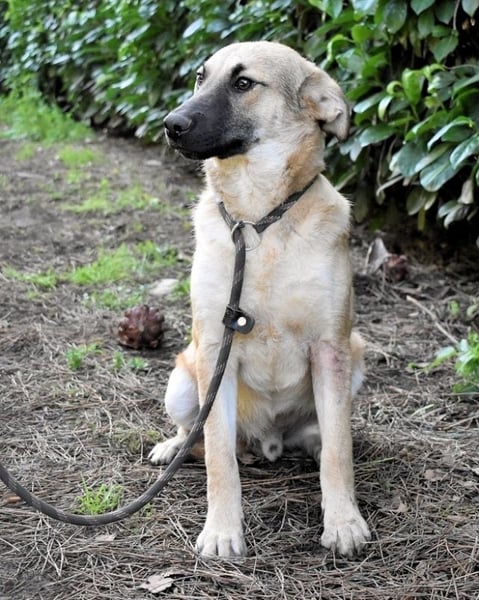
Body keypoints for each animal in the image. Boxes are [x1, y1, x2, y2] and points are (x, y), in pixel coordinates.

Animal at [149, 41, 371, 558]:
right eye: (200, 76)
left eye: (244, 83)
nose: (170, 123)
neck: (259, 221)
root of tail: (267, 441)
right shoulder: (215, 349)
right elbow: (218, 458)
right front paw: (221, 531)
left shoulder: (331, 348)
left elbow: (339, 450)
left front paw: (344, 521)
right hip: (183, 381)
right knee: (198, 435)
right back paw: (175, 447)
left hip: (355, 357)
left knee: (321, 435)